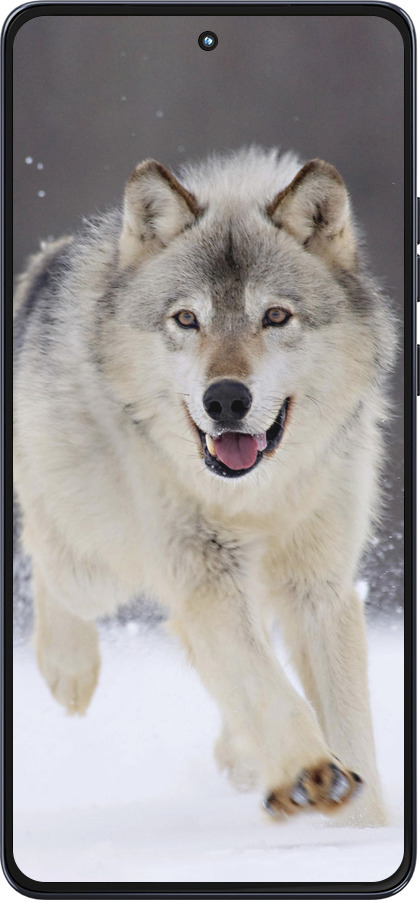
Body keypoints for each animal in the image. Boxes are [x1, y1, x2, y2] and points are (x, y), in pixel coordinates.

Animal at [13, 147, 395, 826]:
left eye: (275, 316)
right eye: (187, 319)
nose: (225, 400)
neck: (255, 497)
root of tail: (48, 260)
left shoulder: (319, 586)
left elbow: (347, 721)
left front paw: (362, 827)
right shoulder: (204, 575)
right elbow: (266, 686)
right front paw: (309, 773)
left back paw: (241, 757)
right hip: (99, 565)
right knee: (46, 555)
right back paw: (69, 671)